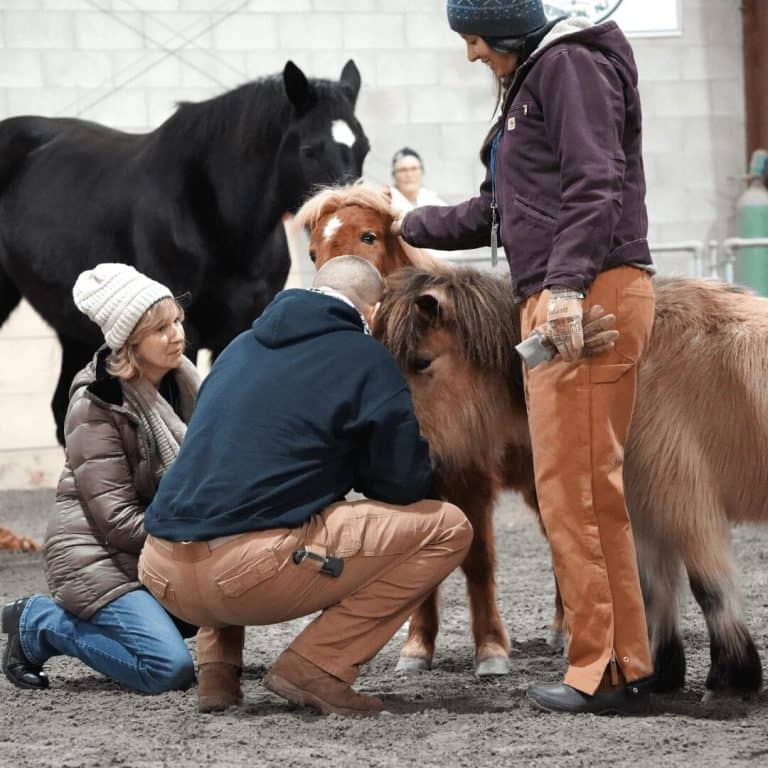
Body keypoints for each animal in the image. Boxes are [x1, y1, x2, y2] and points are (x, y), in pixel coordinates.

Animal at [0, 60, 369, 445]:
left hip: (72, 327)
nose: (351, 227)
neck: (216, 219)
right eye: (309, 150)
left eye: (364, 148)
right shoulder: (179, 333)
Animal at [299, 183, 766, 697]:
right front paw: (417, 649)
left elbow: (480, 560)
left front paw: (491, 652)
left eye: (368, 236)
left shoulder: (474, 481)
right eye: (312, 250)